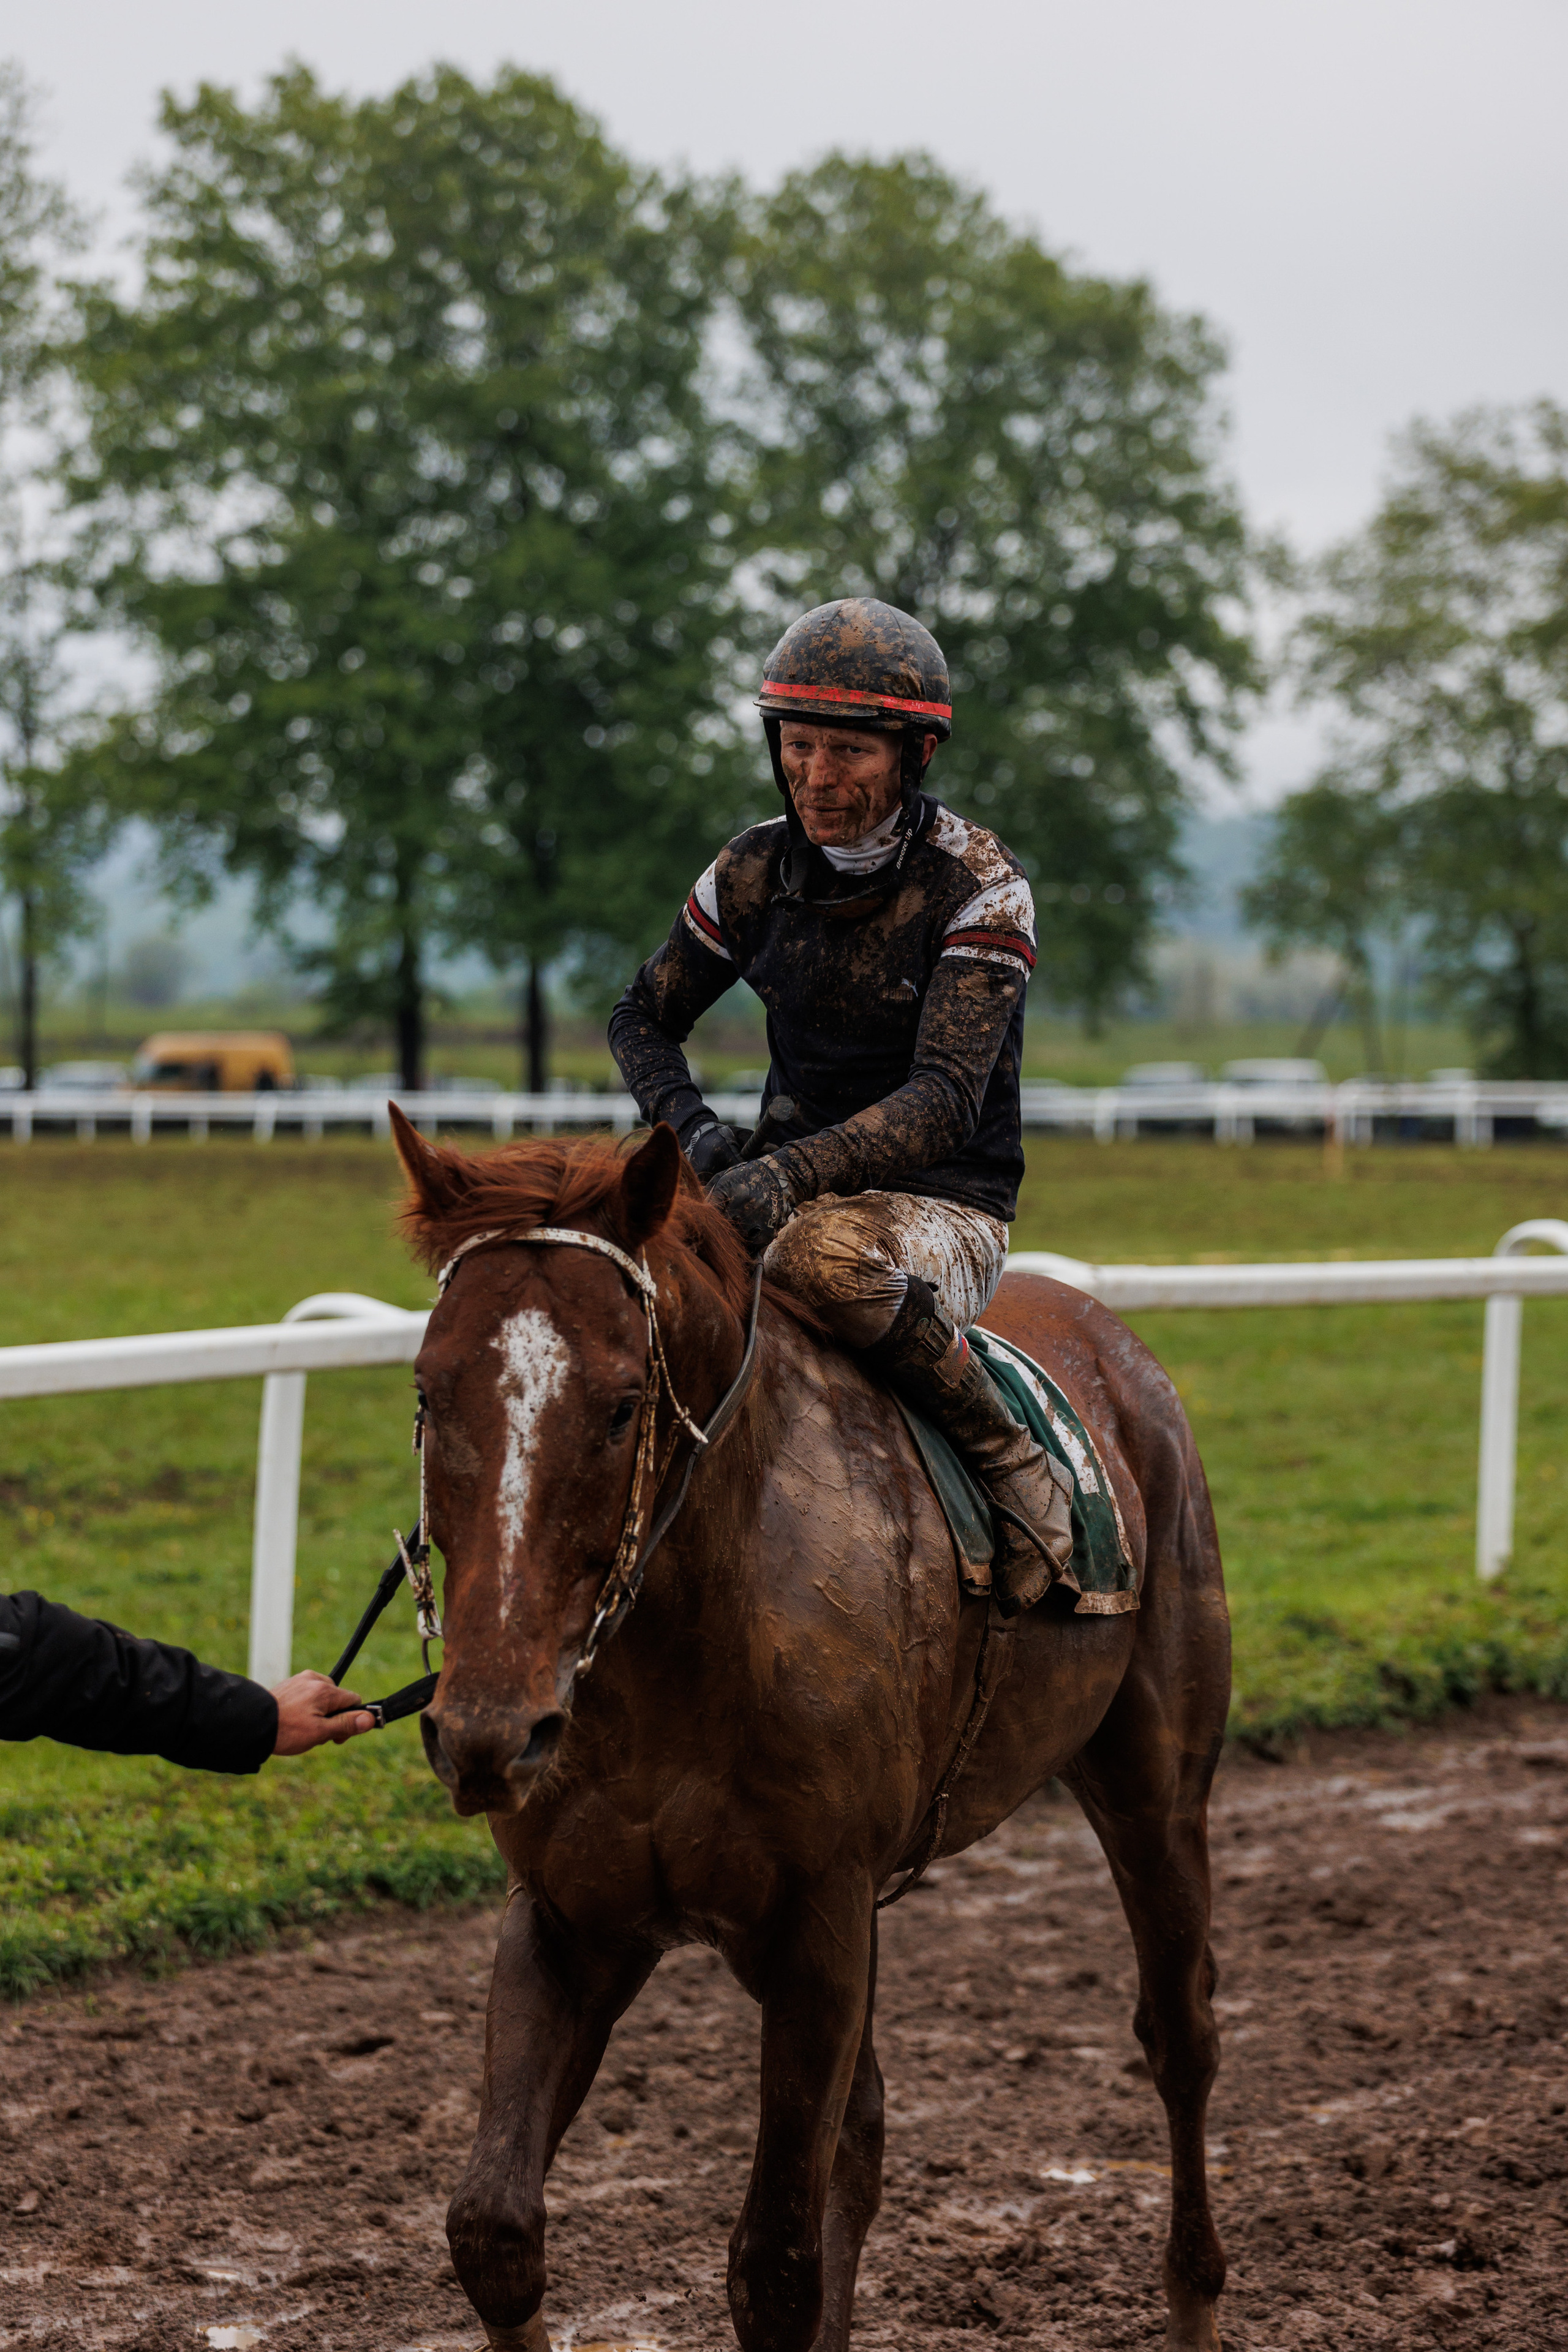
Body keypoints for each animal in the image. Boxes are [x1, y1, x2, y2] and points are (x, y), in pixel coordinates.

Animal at [389, 1106, 1232, 2352]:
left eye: (622, 1406)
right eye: (430, 1394)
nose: (488, 1732)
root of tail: (1114, 1344)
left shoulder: (818, 1919)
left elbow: (774, 2267)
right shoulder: (571, 1916)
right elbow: (493, 2228)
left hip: (1155, 1790)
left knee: (1181, 2034)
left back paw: (1194, 2291)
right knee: (868, 2131)